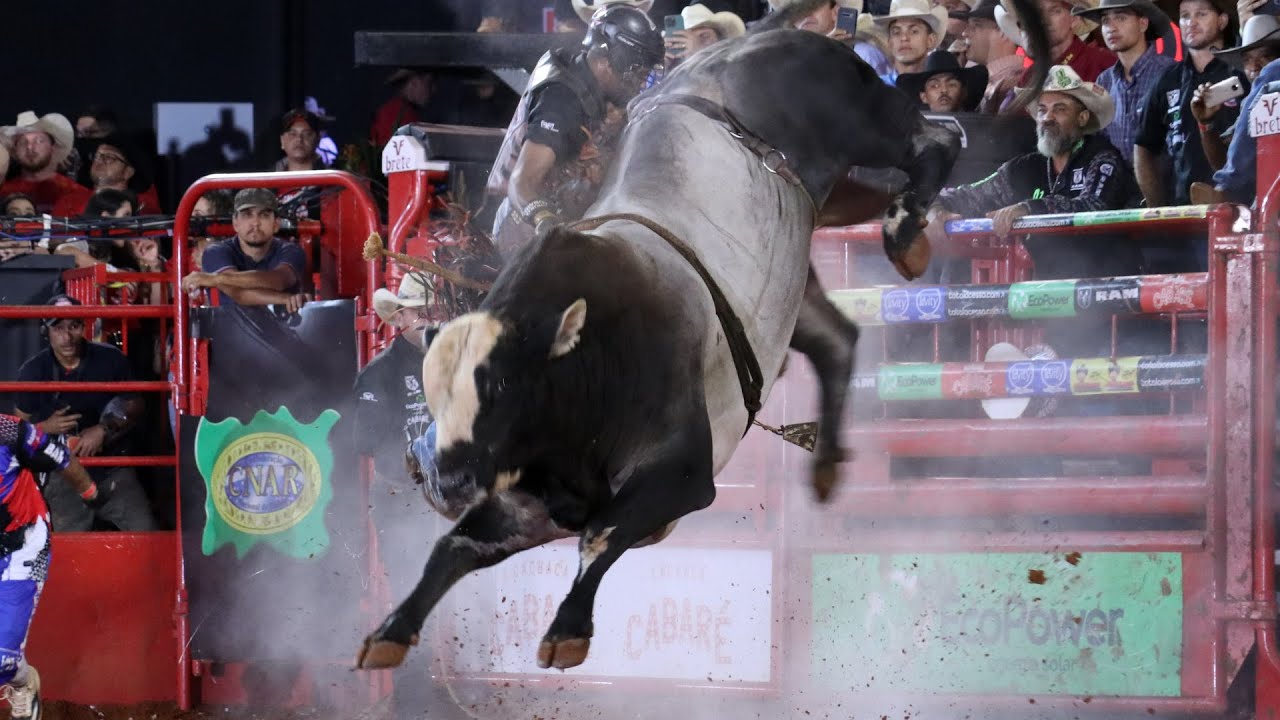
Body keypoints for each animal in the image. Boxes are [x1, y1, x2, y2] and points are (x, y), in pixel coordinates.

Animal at [358, 0, 1049, 671]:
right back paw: (827, 459)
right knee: (838, 337)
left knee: (938, 136)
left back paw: (904, 233)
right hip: (810, 242)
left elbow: (601, 536)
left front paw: (568, 631)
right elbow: (456, 547)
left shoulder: (684, 472)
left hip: (863, 118)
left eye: (501, 386)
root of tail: (754, 43)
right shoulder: (529, 501)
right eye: (435, 393)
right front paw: (390, 631)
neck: (586, 362)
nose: (442, 476)